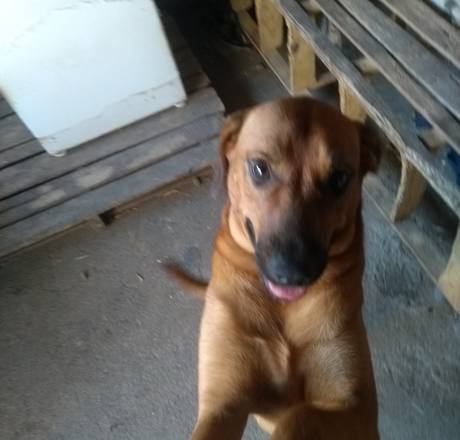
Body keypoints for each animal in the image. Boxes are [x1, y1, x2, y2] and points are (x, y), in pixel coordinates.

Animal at [167, 96, 381, 439]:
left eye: (338, 178)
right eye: (259, 168)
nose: (292, 272)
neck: (282, 308)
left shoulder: (360, 411)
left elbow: (301, 414)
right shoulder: (221, 403)